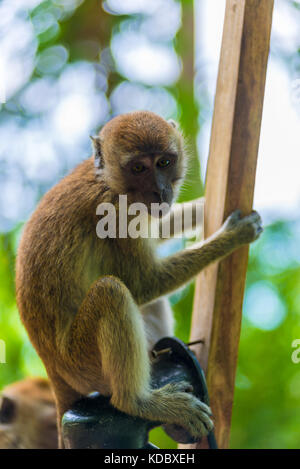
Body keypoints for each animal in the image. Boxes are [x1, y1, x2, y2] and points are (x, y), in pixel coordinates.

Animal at [15, 109, 262, 446]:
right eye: (137, 168)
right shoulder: (115, 213)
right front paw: (233, 236)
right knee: (111, 292)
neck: (108, 182)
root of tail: (55, 373)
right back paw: (139, 402)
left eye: (164, 162)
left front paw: (199, 209)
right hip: (84, 363)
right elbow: (144, 283)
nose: (160, 192)